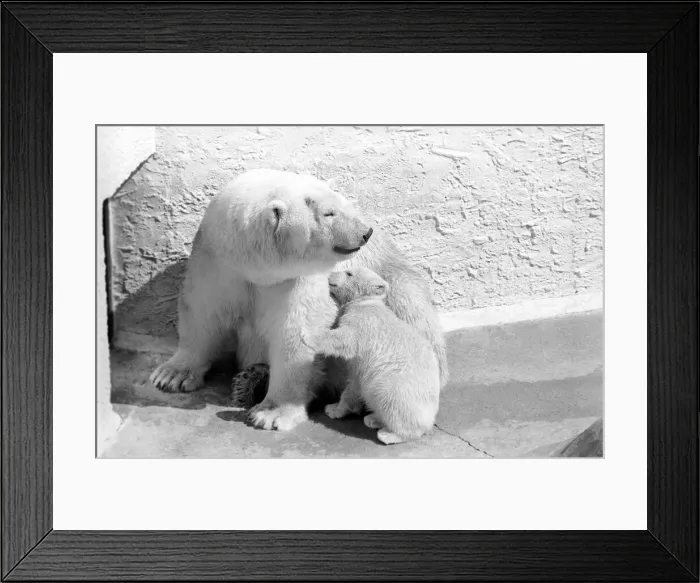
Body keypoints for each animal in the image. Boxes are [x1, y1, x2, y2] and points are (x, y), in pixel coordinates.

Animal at [301, 267, 441, 445]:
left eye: (349, 273)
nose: (329, 274)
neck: (365, 303)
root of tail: (430, 417)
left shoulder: (362, 325)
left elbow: (344, 339)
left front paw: (307, 334)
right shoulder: (358, 366)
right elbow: (353, 384)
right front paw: (333, 407)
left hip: (396, 385)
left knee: (391, 401)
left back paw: (388, 434)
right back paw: (373, 419)